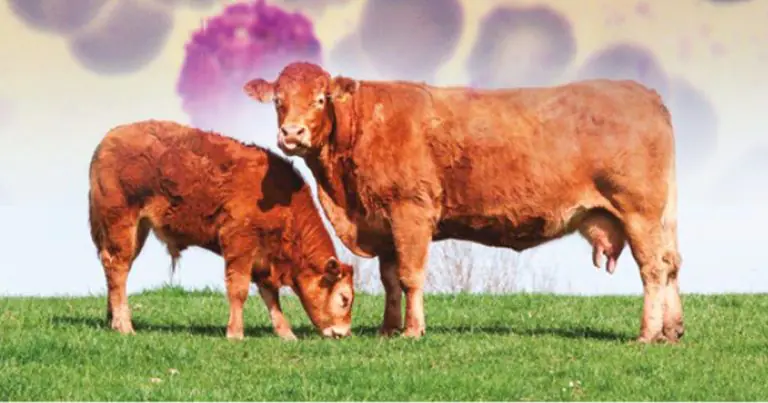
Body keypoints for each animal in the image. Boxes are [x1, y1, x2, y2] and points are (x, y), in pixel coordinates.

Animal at [88, 120, 355, 341]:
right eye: (344, 298)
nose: (342, 333)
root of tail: (108, 140)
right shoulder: (239, 243)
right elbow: (239, 290)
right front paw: (235, 333)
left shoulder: (263, 258)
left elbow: (271, 296)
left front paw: (286, 333)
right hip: (121, 224)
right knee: (117, 267)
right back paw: (124, 325)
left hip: (137, 231)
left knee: (117, 272)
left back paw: (113, 319)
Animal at [243, 62, 683, 344]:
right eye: (278, 100)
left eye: (321, 99)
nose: (292, 133)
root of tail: (645, 93)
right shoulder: (382, 222)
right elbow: (389, 280)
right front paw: (388, 329)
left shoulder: (411, 210)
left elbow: (410, 276)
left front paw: (413, 331)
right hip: (660, 218)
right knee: (672, 264)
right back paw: (672, 331)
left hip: (639, 211)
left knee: (653, 269)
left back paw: (647, 334)